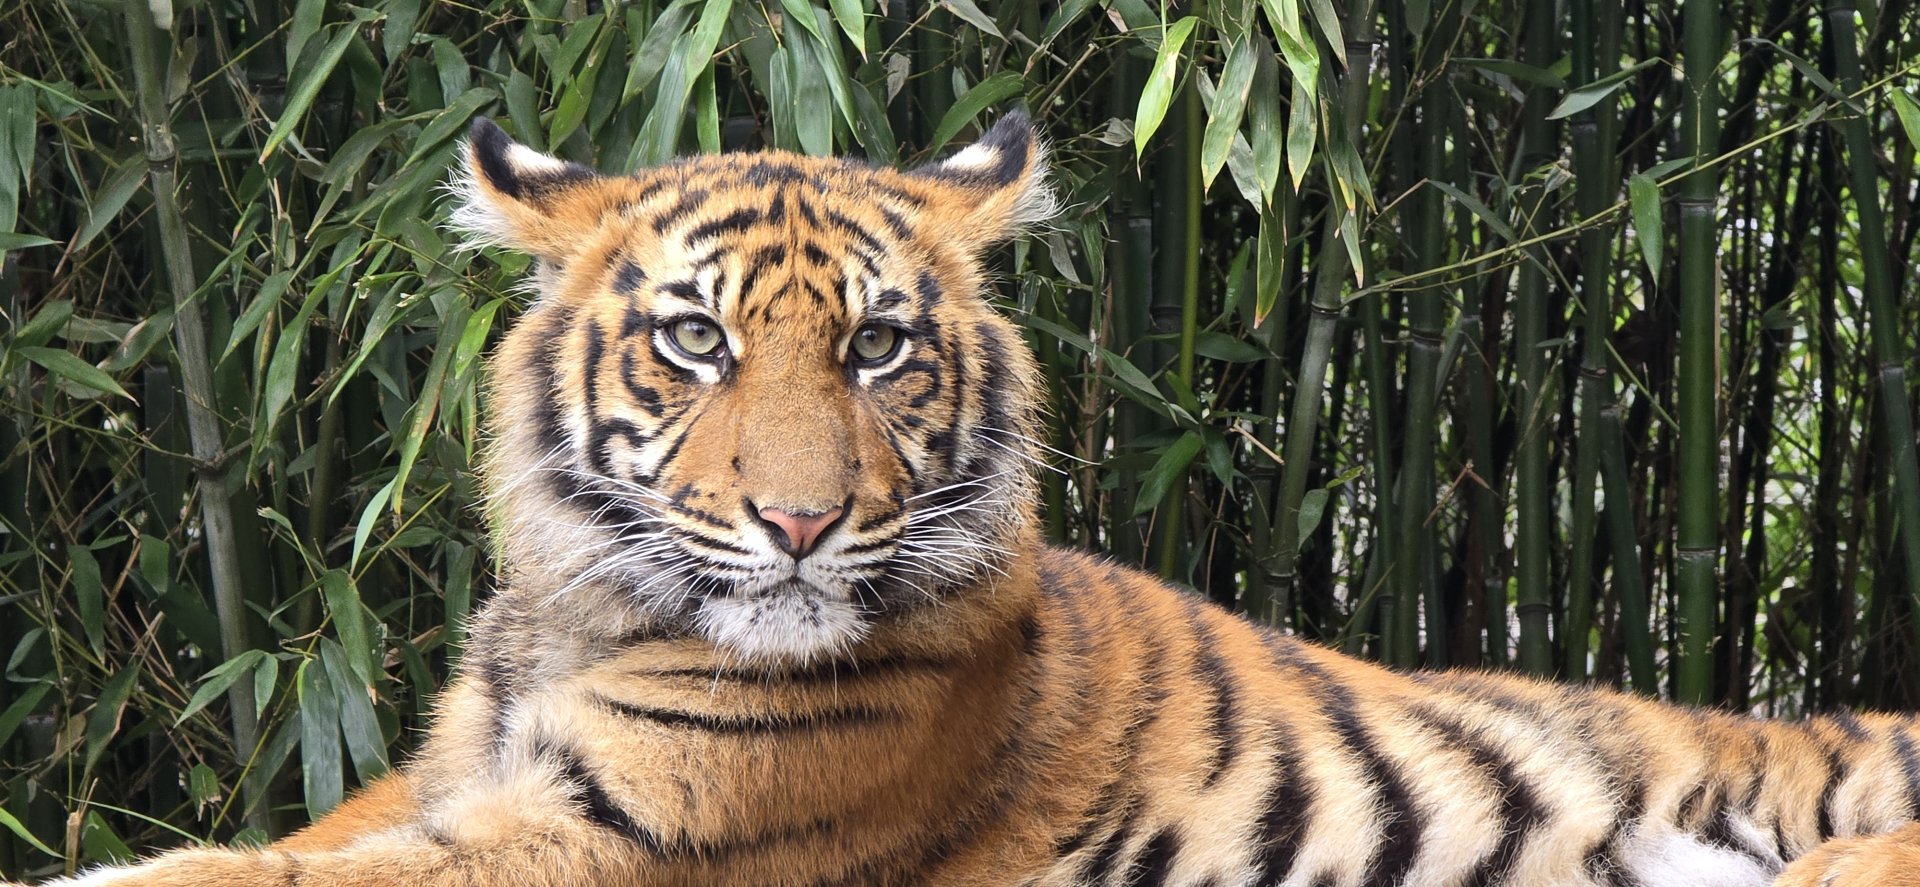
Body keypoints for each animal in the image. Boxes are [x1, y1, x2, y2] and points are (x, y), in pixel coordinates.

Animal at [25, 112, 1920, 887]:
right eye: (699, 340)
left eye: (876, 347)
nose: (799, 527)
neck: (586, 608)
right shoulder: (434, 785)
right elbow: (267, 844)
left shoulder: (632, 836)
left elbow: (225, 876)